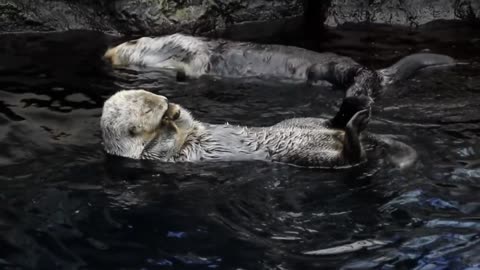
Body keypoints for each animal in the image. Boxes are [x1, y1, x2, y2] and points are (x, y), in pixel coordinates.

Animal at [100, 89, 378, 168]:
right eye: (148, 110)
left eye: (150, 94)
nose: (166, 101)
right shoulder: (151, 157)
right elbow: (165, 147)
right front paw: (168, 122)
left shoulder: (190, 126)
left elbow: (189, 120)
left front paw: (176, 111)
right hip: (310, 157)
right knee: (353, 155)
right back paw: (356, 123)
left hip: (299, 121)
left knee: (327, 123)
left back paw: (352, 105)